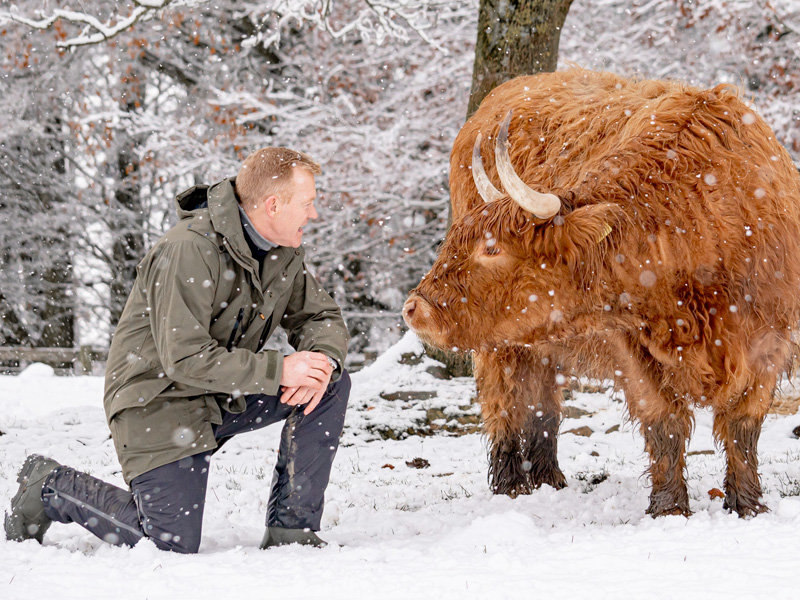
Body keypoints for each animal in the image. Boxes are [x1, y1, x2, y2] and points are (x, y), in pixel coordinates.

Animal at [404, 67, 800, 516]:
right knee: (504, 402)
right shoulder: (632, 345)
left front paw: (747, 505)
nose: (413, 308)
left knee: (542, 401)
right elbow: (664, 423)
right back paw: (512, 486)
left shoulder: (769, 339)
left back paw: (548, 479)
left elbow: (742, 426)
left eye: (491, 248)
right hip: (500, 346)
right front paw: (669, 509)